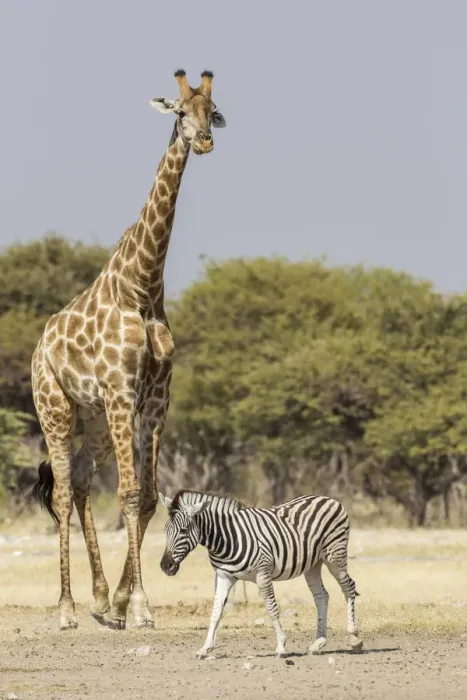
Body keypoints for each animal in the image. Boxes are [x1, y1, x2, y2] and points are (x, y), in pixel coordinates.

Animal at [31, 69, 226, 631]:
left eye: (212, 111)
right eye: (180, 113)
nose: (204, 141)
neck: (142, 286)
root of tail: (39, 345)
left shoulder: (156, 397)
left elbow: (150, 497)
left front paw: (124, 602)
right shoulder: (122, 391)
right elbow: (131, 493)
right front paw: (139, 607)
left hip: (94, 419)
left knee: (77, 481)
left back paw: (97, 601)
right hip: (55, 407)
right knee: (60, 491)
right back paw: (67, 610)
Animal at [159, 489, 363, 658]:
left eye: (183, 530)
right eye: (165, 530)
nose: (165, 566)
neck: (226, 539)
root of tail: (329, 498)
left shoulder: (262, 574)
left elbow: (272, 608)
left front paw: (281, 646)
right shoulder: (224, 576)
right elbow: (216, 611)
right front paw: (205, 648)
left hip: (335, 556)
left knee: (349, 587)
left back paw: (354, 639)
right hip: (313, 564)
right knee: (322, 596)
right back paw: (318, 643)